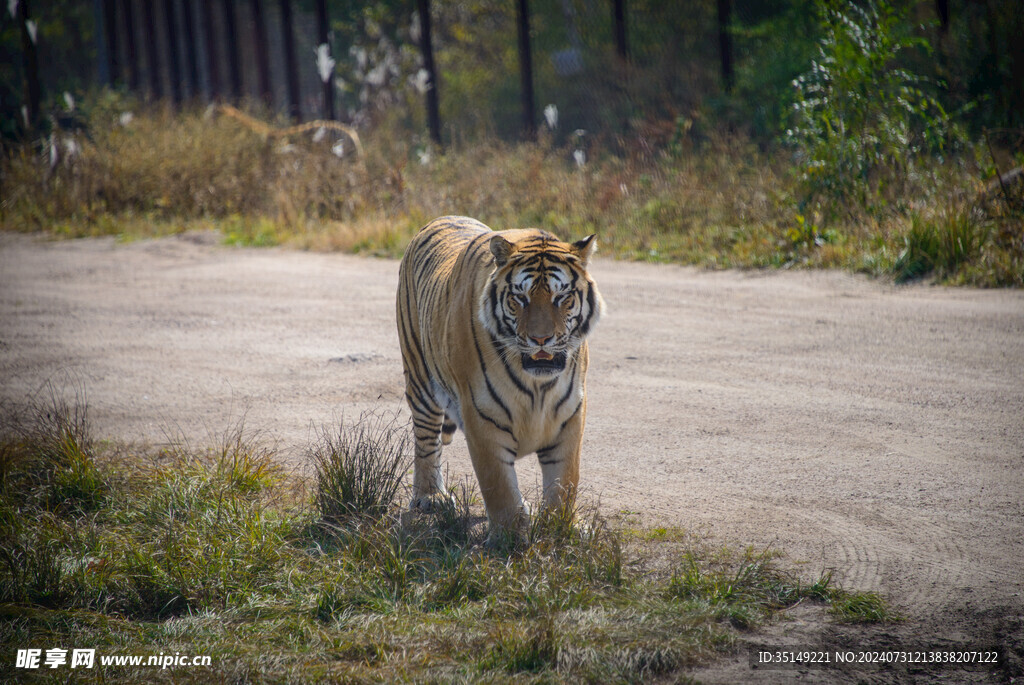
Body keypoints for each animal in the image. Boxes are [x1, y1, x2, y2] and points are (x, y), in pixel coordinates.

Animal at [395, 216, 602, 540]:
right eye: (520, 297)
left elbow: (565, 480)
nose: (541, 339)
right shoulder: (481, 414)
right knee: (426, 440)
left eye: (562, 297)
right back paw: (431, 497)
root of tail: (439, 219)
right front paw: (509, 535)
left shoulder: (570, 412)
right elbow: (499, 484)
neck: (538, 385)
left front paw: (562, 528)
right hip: (420, 378)